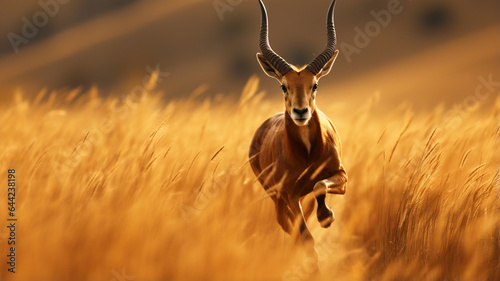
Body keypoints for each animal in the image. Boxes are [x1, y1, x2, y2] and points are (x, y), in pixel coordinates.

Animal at [249, 0, 348, 249]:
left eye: (315, 85)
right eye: (284, 86)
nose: (301, 112)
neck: (308, 154)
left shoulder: (341, 175)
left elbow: (319, 185)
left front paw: (326, 216)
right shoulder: (290, 195)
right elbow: (306, 238)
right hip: (276, 196)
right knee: (285, 223)